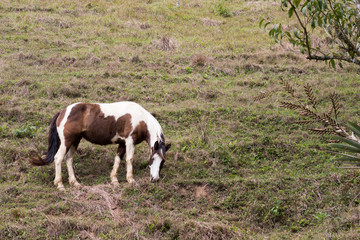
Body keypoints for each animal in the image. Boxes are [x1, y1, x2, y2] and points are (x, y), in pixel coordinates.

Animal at [30, 100, 171, 190]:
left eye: (163, 162)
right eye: (153, 158)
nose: (155, 179)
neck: (141, 119)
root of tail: (63, 111)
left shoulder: (122, 143)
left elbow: (118, 159)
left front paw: (114, 180)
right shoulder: (130, 141)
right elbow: (129, 159)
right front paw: (131, 180)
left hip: (75, 141)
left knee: (68, 159)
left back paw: (75, 183)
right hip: (67, 141)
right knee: (58, 158)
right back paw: (60, 184)